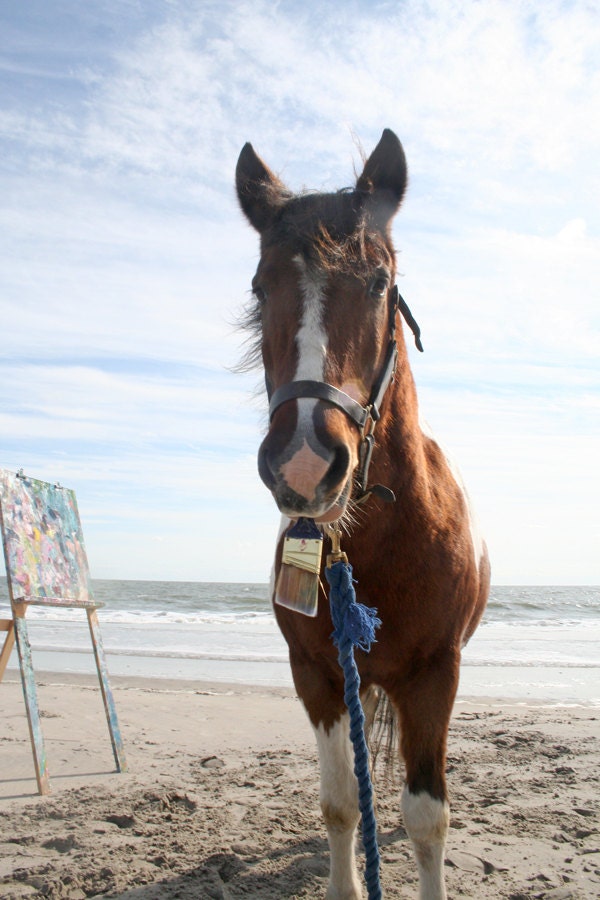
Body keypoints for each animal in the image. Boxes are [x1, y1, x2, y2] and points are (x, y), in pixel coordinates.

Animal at [235, 128, 490, 900]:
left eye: (379, 282)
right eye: (260, 287)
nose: (304, 462)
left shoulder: (435, 676)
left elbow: (427, 816)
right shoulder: (317, 675)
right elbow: (341, 802)